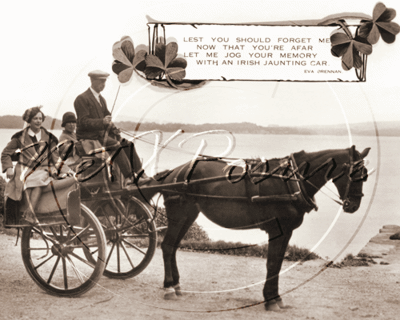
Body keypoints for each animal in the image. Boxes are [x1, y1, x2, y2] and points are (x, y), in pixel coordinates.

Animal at [143, 145, 368, 310]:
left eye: (365, 174)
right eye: (352, 173)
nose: (353, 206)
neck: (290, 181)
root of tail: (173, 173)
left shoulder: (286, 231)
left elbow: (278, 264)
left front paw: (275, 297)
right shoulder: (277, 230)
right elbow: (272, 263)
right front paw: (270, 299)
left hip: (188, 216)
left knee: (172, 248)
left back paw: (175, 285)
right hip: (180, 215)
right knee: (167, 246)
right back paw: (169, 288)